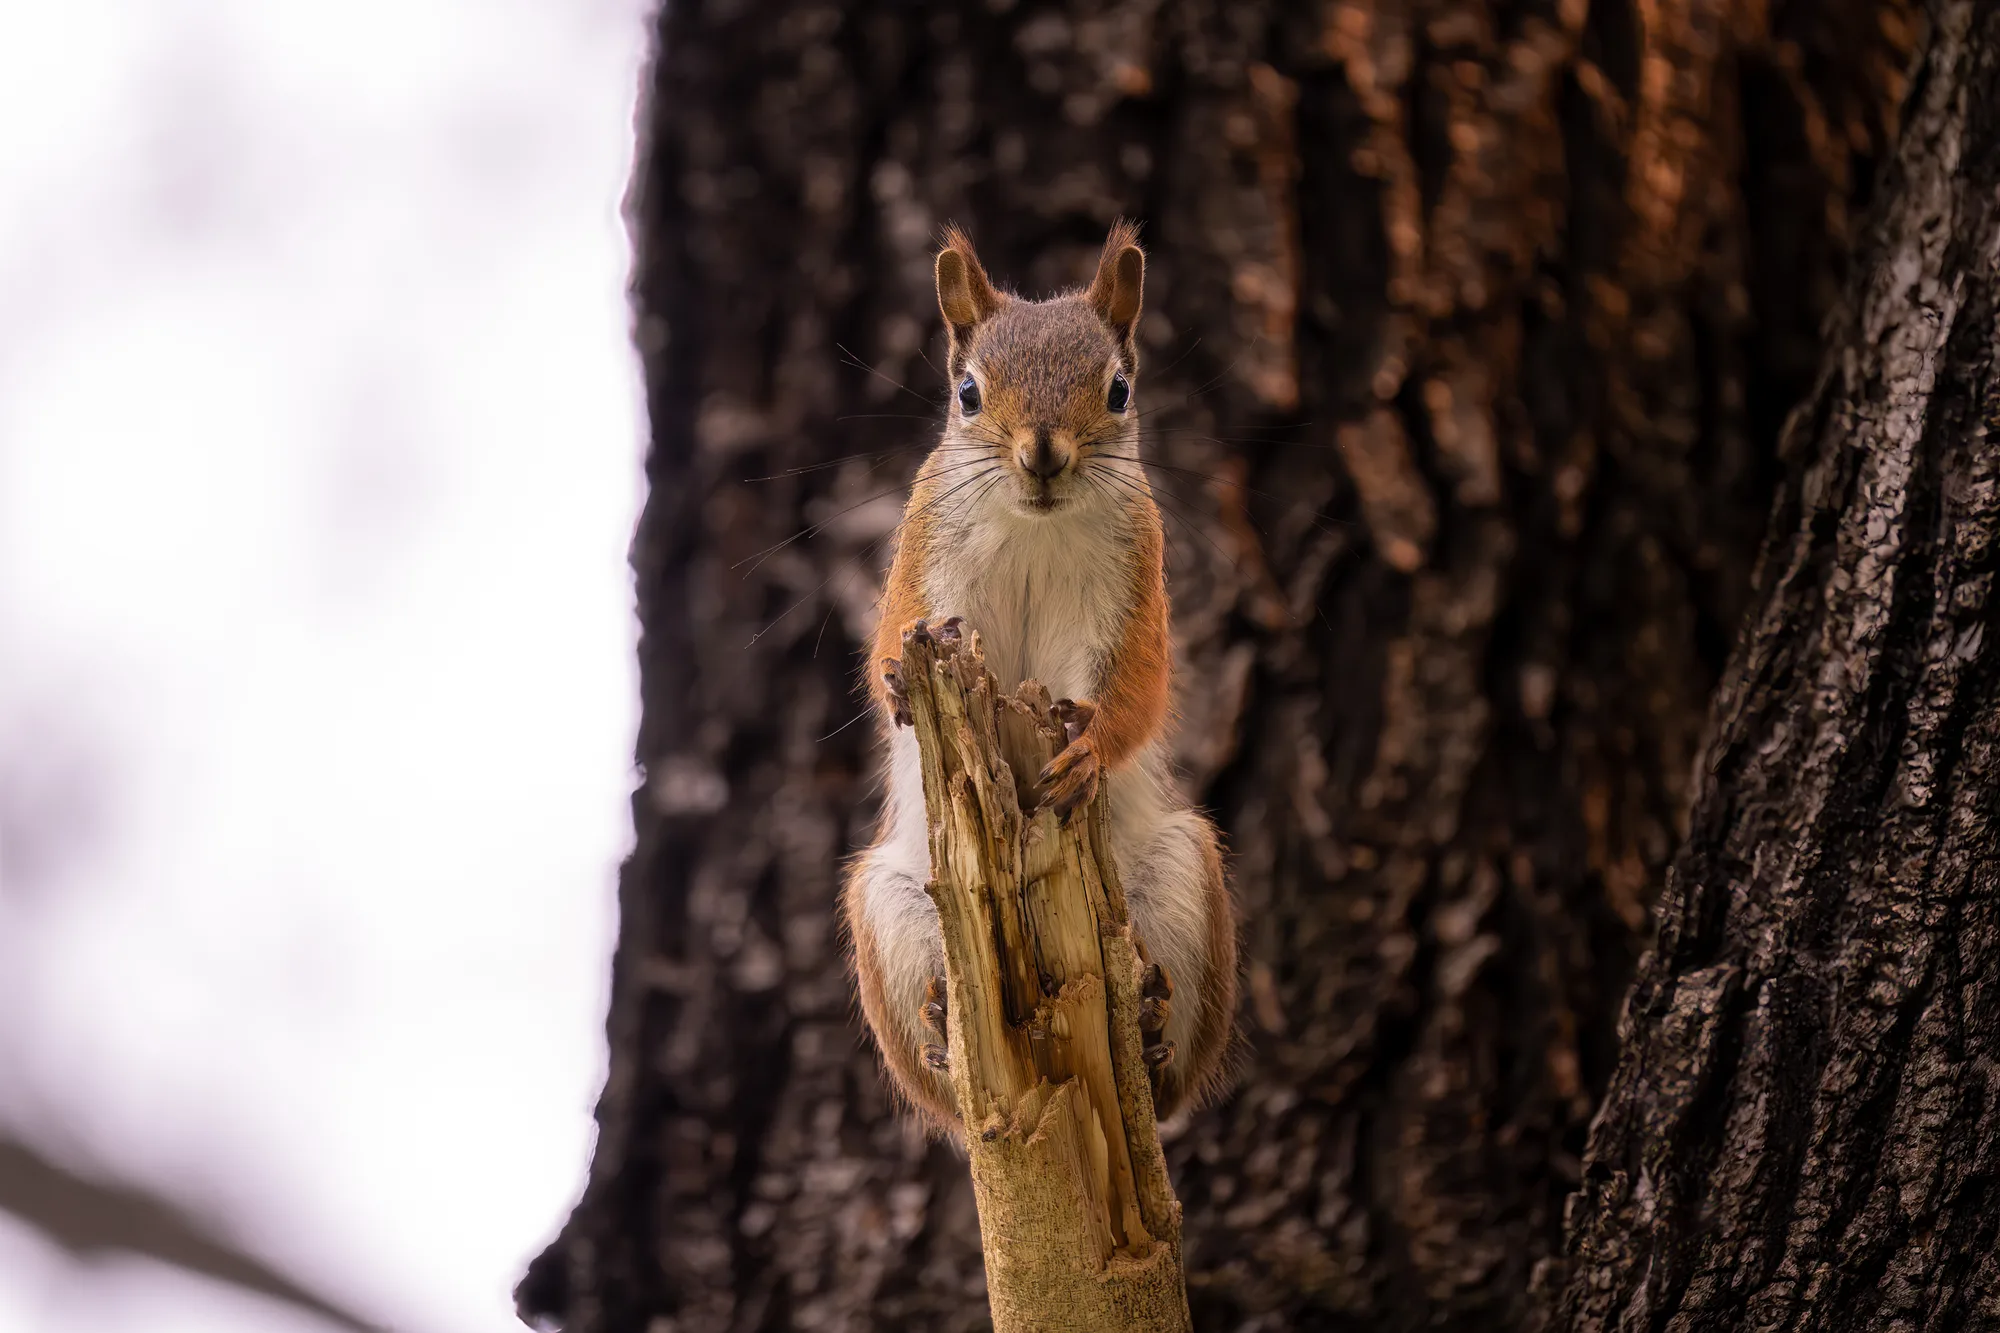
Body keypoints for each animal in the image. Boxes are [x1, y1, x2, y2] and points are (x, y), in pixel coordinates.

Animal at [842, 221, 1238, 1127]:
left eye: (1119, 389)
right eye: (968, 392)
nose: (1043, 454)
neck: (1033, 525)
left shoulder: (1135, 591)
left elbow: (1137, 690)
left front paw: (1087, 750)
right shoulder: (922, 556)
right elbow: (887, 641)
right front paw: (895, 681)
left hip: (1184, 875)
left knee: (1169, 1073)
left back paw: (1155, 1032)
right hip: (886, 911)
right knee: (947, 1084)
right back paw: (940, 1024)